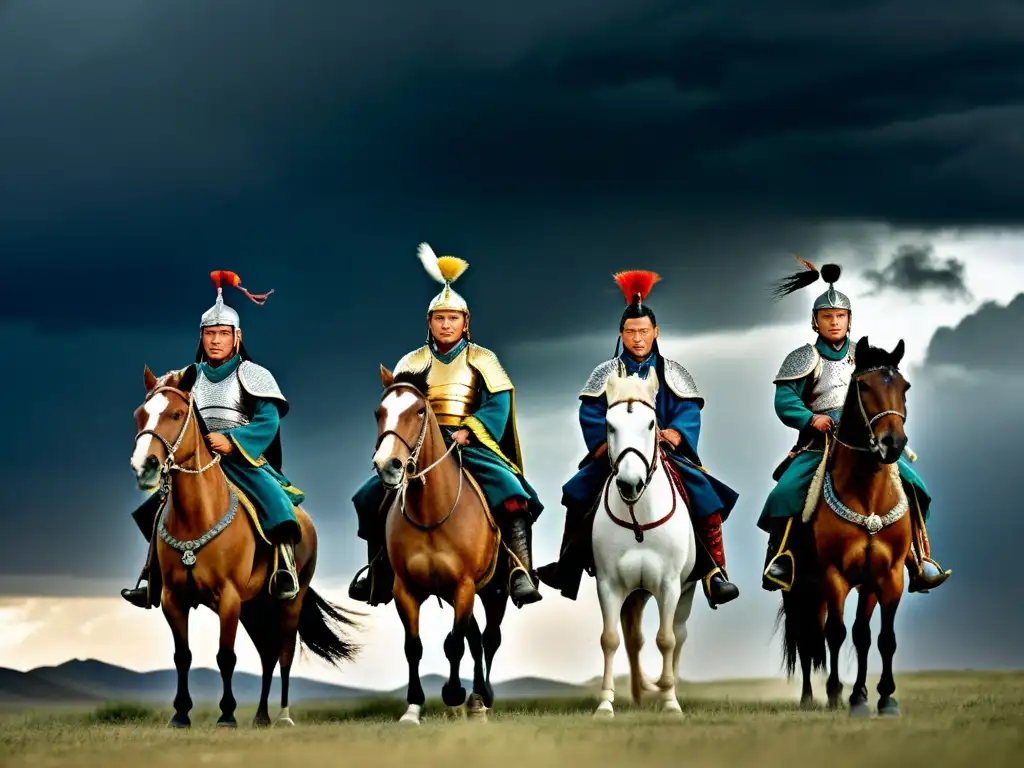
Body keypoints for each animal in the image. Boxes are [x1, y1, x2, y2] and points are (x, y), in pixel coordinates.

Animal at [131, 366, 360, 729]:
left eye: (176, 414)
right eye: (140, 414)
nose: (146, 465)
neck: (198, 515)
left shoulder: (228, 598)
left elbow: (226, 656)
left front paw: (226, 714)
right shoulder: (173, 599)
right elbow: (182, 656)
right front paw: (180, 714)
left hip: (287, 604)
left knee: (283, 653)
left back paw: (282, 715)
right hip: (255, 607)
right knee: (267, 655)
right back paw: (262, 715)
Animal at [372, 366, 507, 729]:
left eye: (419, 411)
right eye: (379, 412)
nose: (387, 465)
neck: (431, 513)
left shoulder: (464, 586)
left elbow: (455, 644)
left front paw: (454, 693)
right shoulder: (406, 591)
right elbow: (414, 647)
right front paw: (413, 708)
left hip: (493, 592)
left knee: (489, 638)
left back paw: (482, 697)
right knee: (476, 638)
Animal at [593, 370, 696, 720]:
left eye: (652, 424)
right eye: (610, 425)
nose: (629, 484)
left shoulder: (670, 585)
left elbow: (666, 640)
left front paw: (671, 702)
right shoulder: (609, 584)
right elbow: (610, 639)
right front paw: (605, 704)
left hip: (685, 591)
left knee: (679, 635)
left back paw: (666, 685)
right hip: (635, 594)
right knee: (633, 638)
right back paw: (640, 694)